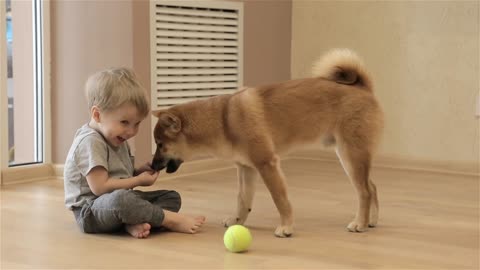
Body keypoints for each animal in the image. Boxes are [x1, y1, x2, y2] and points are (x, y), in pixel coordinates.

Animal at [152, 48, 384, 236]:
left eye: (160, 144)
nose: (152, 165)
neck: (223, 120)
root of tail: (362, 88)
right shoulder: (246, 168)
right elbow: (243, 200)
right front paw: (237, 221)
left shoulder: (267, 164)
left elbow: (280, 199)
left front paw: (286, 227)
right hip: (351, 156)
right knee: (372, 187)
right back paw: (371, 221)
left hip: (351, 154)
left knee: (364, 191)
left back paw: (360, 224)